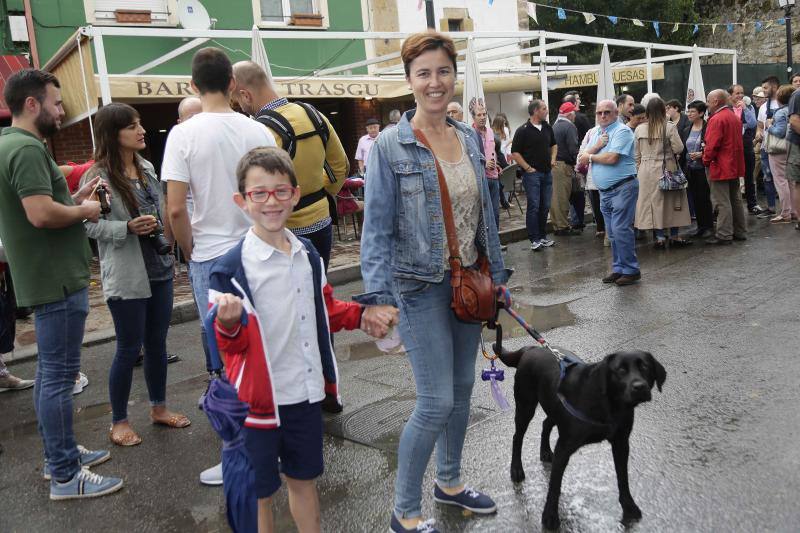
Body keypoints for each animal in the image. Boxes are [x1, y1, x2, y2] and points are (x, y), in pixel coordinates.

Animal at [496, 344, 664, 528]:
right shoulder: (564, 447)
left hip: (554, 407)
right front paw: (550, 516)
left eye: (645, 367)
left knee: (546, 424)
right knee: (517, 437)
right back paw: (516, 469)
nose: (639, 387)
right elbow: (554, 486)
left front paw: (629, 506)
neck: (609, 405)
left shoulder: (621, 443)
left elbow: (623, 478)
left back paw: (545, 451)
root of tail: (531, 348)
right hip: (525, 406)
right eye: (620, 370)